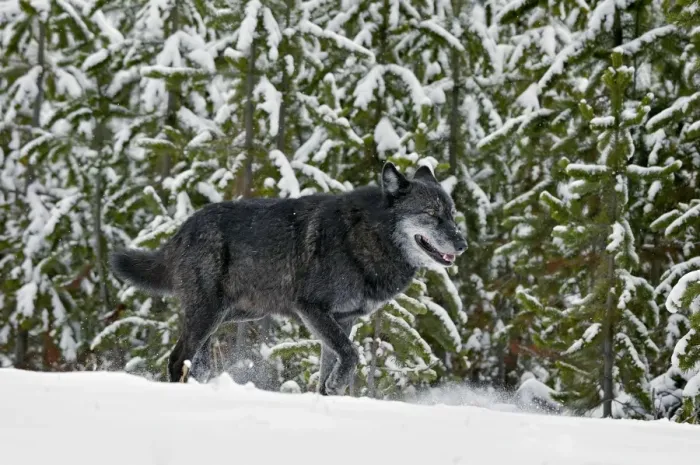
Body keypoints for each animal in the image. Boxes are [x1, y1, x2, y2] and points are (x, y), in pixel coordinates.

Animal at [109, 162, 467, 395]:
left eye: (451, 214)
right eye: (431, 215)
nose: (462, 244)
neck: (368, 235)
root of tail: (182, 228)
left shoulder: (343, 319)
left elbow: (333, 363)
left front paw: (328, 394)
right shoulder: (312, 309)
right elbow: (351, 354)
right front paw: (337, 385)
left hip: (233, 314)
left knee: (198, 362)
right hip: (208, 315)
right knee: (175, 360)